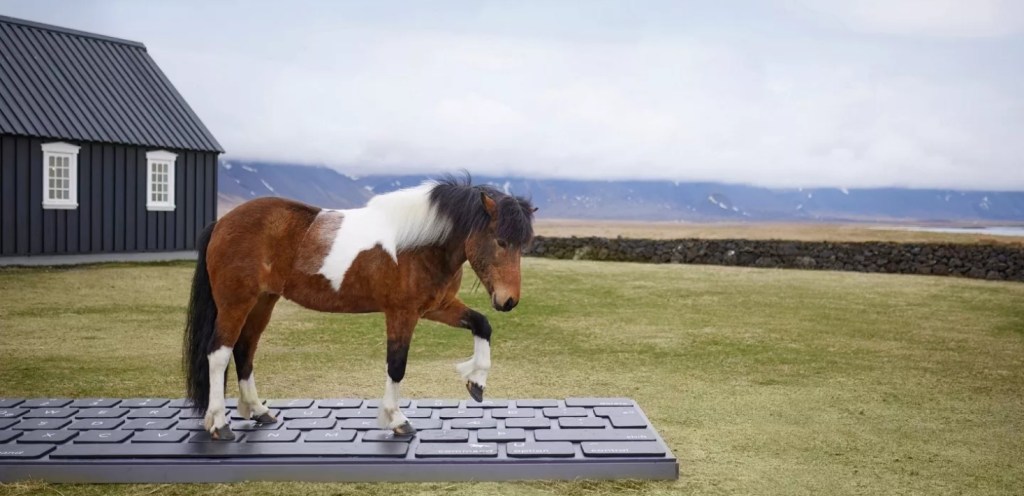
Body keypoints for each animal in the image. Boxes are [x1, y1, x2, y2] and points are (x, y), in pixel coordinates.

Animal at [184, 176, 536, 440]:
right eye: (501, 241)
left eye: (524, 244)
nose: (509, 301)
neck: (419, 243)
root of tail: (222, 222)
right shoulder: (401, 314)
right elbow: (397, 365)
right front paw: (396, 419)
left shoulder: (438, 307)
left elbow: (482, 324)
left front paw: (476, 382)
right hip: (236, 302)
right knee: (219, 354)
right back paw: (219, 423)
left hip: (262, 302)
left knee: (245, 350)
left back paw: (258, 411)